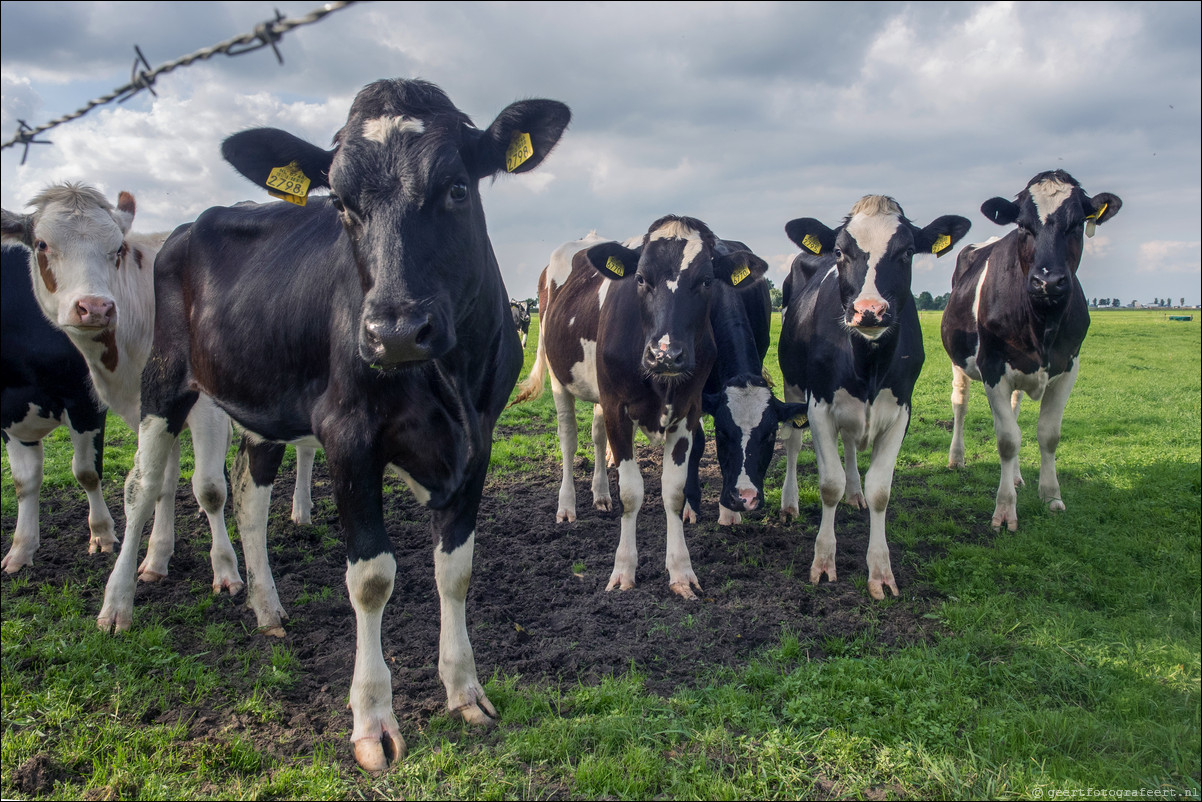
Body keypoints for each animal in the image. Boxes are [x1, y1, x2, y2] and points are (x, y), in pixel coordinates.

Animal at [2, 246, 116, 569]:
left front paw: (102, 534)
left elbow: (86, 472)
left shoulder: (85, 400)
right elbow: (23, 481)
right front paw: (21, 548)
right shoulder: (8, 414)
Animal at [91, 79, 569, 769]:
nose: (395, 331)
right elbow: (370, 579)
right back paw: (118, 603)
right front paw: (373, 719)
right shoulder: (349, 439)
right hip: (164, 380)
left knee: (248, 498)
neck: (442, 380)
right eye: (339, 202)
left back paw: (267, 607)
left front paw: (464, 691)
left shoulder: (478, 443)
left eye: (457, 186)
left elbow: (455, 570)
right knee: (141, 486)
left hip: (261, 405)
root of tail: (185, 226)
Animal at [512, 217, 764, 596]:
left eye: (707, 281)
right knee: (568, 438)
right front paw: (624, 570)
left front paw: (681, 572)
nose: (666, 355)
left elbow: (672, 492)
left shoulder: (687, 411)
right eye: (641, 278)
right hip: (559, 378)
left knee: (596, 435)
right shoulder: (618, 407)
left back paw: (601, 495)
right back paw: (566, 506)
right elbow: (631, 493)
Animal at [778, 194, 966, 596]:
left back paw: (854, 493)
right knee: (794, 445)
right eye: (839, 251)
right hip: (792, 383)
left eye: (908, 251)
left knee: (850, 444)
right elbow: (828, 484)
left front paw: (880, 571)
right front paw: (823, 562)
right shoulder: (818, 405)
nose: (869, 311)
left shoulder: (901, 411)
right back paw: (789, 502)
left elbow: (881, 490)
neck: (868, 363)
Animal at [942, 169, 1120, 529]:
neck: (1042, 324)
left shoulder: (1068, 367)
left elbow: (1047, 434)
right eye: (1023, 225)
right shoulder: (992, 367)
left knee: (1014, 410)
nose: (1047, 281)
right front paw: (1005, 510)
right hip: (959, 362)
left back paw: (1017, 476)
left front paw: (1051, 496)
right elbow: (1007, 439)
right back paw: (957, 458)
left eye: (1077, 223)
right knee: (961, 404)